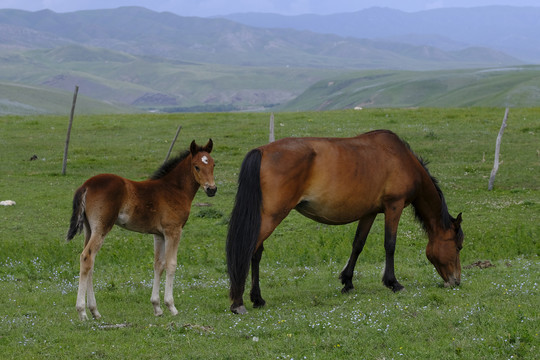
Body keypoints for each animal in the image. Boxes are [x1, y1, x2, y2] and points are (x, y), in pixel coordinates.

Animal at [68, 139, 217, 320]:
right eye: (196, 166)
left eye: (213, 164)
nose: (212, 189)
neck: (174, 189)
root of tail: (86, 185)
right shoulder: (173, 231)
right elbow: (171, 264)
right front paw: (171, 306)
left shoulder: (159, 235)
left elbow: (158, 264)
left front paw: (157, 307)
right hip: (102, 227)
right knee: (87, 257)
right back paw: (82, 312)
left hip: (89, 229)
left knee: (90, 262)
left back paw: (94, 311)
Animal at [227, 131, 464, 314]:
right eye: (458, 247)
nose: (456, 281)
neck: (401, 159)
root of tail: (262, 151)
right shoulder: (393, 206)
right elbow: (390, 245)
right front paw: (393, 283)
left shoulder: (369, 213)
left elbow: (358, 244)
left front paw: (347, 282)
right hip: (271, 216)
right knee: (249, 251)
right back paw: (238, 302)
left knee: (256, 253)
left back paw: (257, 299)